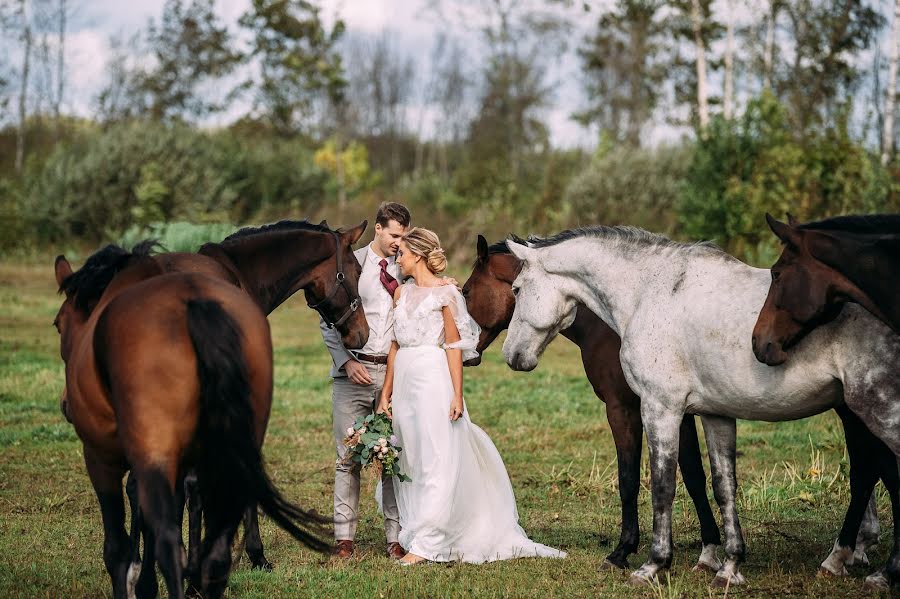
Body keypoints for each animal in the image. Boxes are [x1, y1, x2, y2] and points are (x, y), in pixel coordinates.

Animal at [464, 236, 724, 572]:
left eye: (466, 291)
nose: (465, 354)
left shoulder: (624, 408)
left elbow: (629, 479)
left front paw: (622, 551)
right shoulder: (677, 411)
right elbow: (693, 475)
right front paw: (709, 550)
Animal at [500, 227, 900, 588]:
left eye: (516, 290)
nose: (511, 356)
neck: (649, 293)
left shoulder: (659, 409)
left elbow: (662, 485)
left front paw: (653, 565)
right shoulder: (714, 414)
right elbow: (723, 485)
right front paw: (730, 566)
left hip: (877, 411)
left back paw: (872, 569)